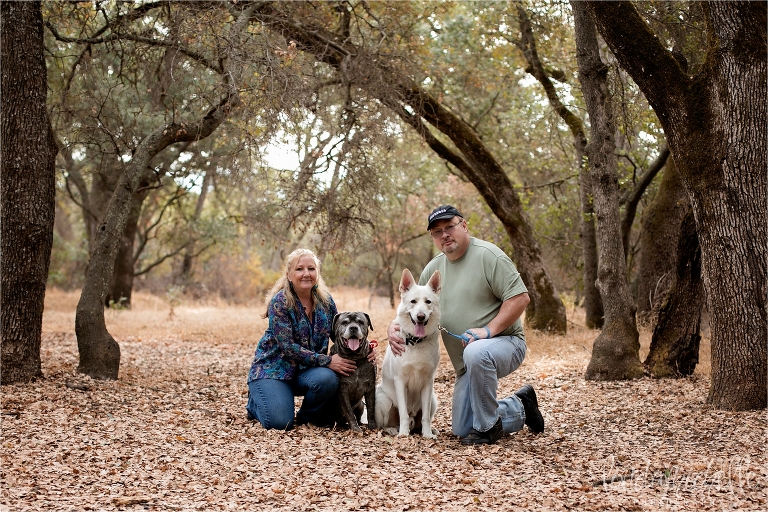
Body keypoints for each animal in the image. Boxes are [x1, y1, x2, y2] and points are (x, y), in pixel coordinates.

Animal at [376, 268, 440, 440]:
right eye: (413, 301)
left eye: (428, 302)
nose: (420, 316)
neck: (416, 342)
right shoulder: (400, 381)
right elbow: (403, 413)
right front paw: (403, 434)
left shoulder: (428, 383)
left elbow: (425, 417)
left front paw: (427, 434)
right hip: (383, 399)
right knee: (385, 424)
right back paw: (393, 430)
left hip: (433, 399)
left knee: (420, 420)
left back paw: (430, 430)